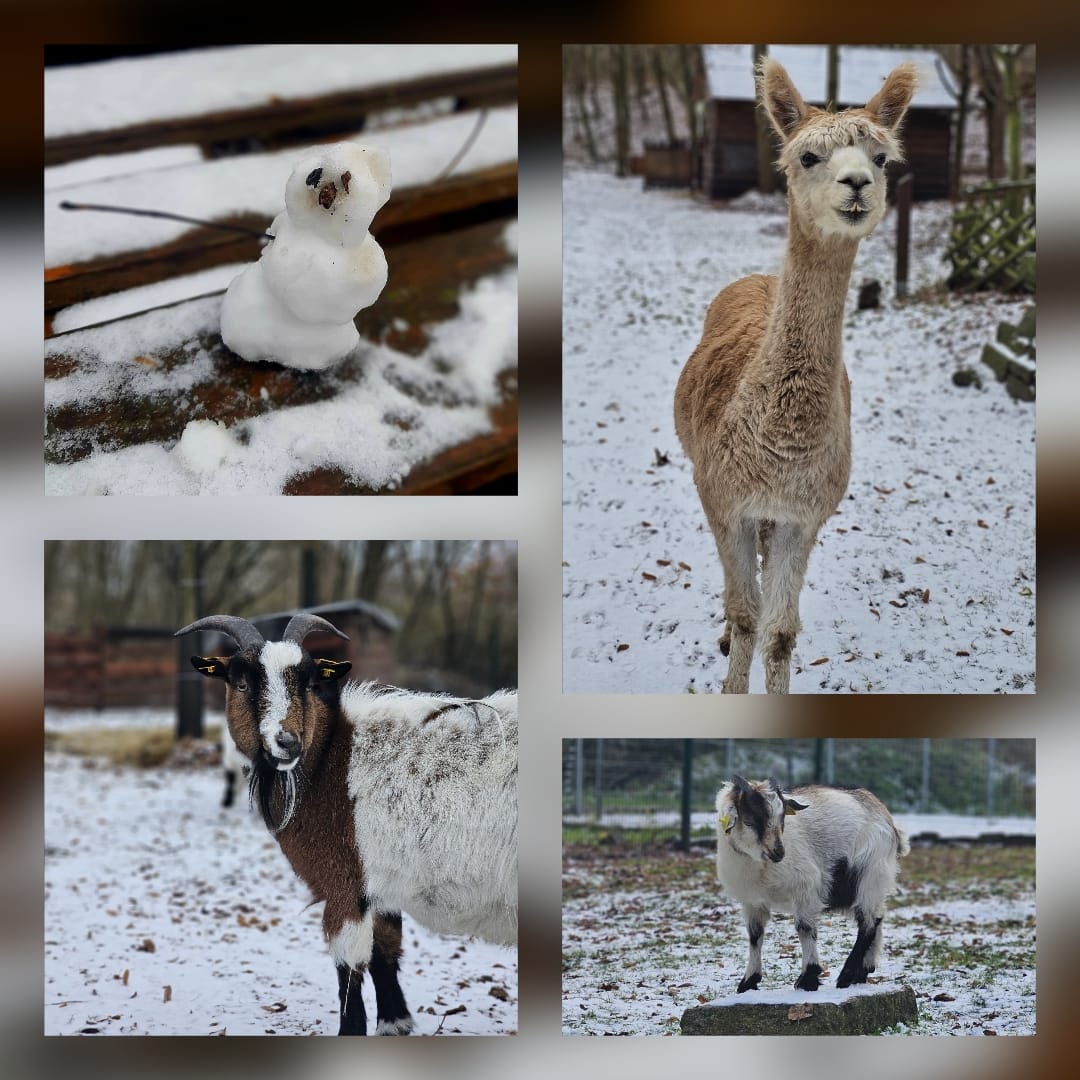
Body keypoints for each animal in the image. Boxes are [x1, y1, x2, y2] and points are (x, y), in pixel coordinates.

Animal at [175, 613, 518, 1035]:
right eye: (241, 682)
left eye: (308, 683)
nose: (287, 741)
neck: (327, 762)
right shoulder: (380, 884)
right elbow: (385, 949)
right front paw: (395, 1021)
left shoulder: (345, 882)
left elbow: (349, 964)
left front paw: (352, 1028)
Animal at [715, 775, 908, 993]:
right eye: (748, 821)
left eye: (782, 818)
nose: (778, 853)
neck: (760, 865)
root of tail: (888, 820)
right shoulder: (753, 901)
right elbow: (755, 935)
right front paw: (748, 982)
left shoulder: (805, 889)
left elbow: (805, 928)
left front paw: (808, 978)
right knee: (877, 918)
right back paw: (863, 971)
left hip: (870, 875)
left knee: (867, 924)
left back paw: (846, 976)